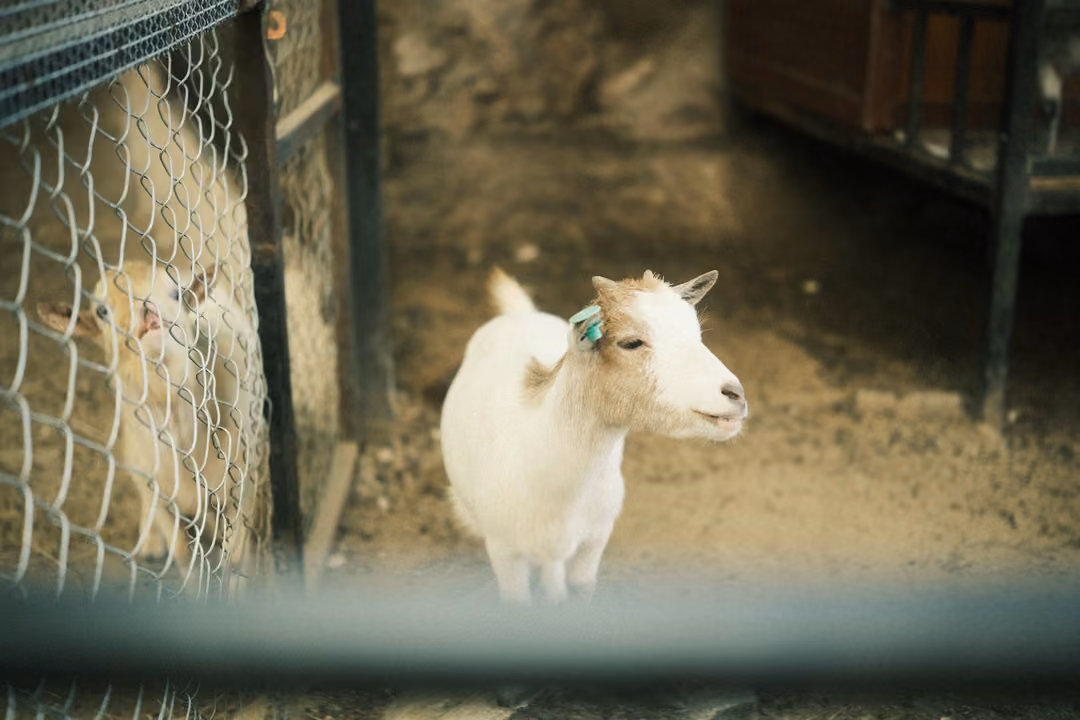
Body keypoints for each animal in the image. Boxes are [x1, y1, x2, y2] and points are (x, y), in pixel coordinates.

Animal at [440, 268, 748, 604]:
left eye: (697, 331)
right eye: (631, 342)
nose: (735, 394)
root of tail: (519, 313)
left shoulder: (594, 541)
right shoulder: (505, 552)